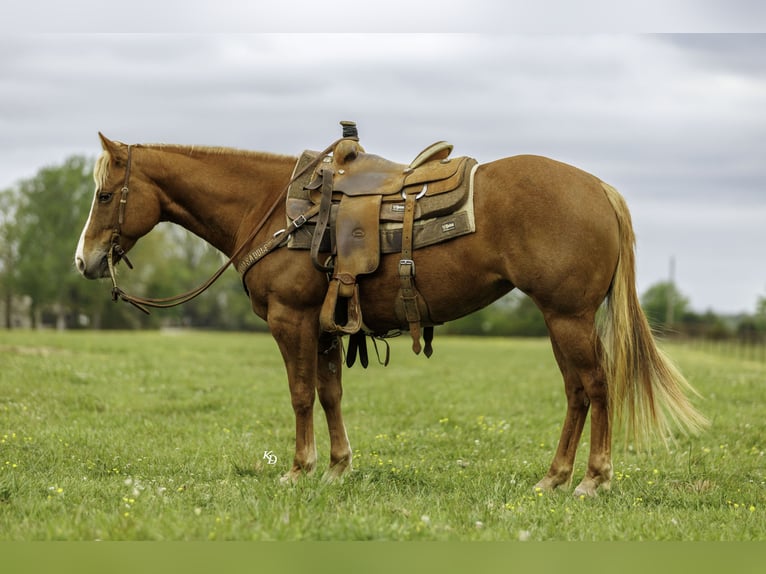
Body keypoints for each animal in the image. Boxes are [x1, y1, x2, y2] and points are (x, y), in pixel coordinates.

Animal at [75, 131, 707, 497]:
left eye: (104, 195)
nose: (84, 261)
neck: (277, 210)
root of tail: (599, 189)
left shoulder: (291, 320)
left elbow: (300, 394)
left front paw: (299, 469)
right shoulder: (327, 326)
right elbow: (330, 393)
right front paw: (337, 467)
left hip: (567, 317)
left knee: (595, 387)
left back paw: (592, 480)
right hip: (560, 320)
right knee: (577, 392)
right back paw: (552, 479)